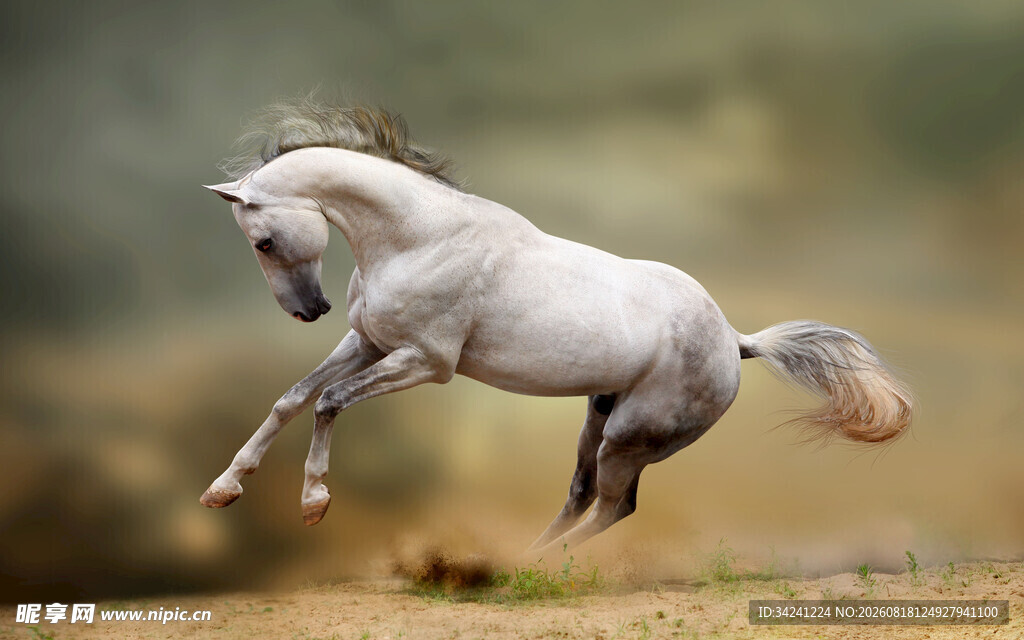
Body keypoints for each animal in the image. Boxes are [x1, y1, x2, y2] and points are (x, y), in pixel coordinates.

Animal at [200, 100, 912, 555]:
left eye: (264, 241)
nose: (309, 310)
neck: (419, 238)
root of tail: (736, 342)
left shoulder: (426, 362)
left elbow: (328, 401)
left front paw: (313, 503)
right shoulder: (369, 342)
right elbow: (293, 398)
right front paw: (223, 489)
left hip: (630, 437)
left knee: (613, 506)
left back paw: (541, 567)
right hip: (598, 418)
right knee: (580, 493)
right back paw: (522, 560)